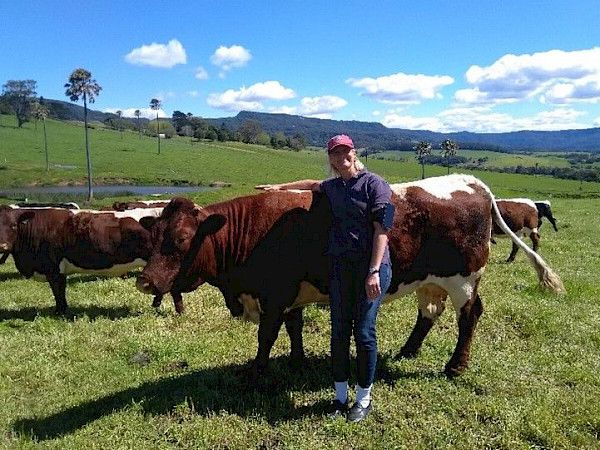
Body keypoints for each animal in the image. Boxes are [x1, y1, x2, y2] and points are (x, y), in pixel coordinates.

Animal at [0, 205, 164, 312]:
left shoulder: (53, 269)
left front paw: (60, 311)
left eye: (14, 225)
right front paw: (63, 309)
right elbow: (60, 291)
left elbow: (57, 291)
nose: (3, 246)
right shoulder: (59, 271)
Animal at [136, 174, 564, 382]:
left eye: (181, 240)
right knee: (429, 312)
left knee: (469, 315)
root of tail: (471, 182)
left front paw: (257, 372)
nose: (145, 281)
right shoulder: (292, 294)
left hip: (463, 279)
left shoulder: (274, 294)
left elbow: (267, 336)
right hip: (430, 279)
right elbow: (294, 328)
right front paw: (297, 362)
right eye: (153, 237)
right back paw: (407, 350)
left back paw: (456, 367)